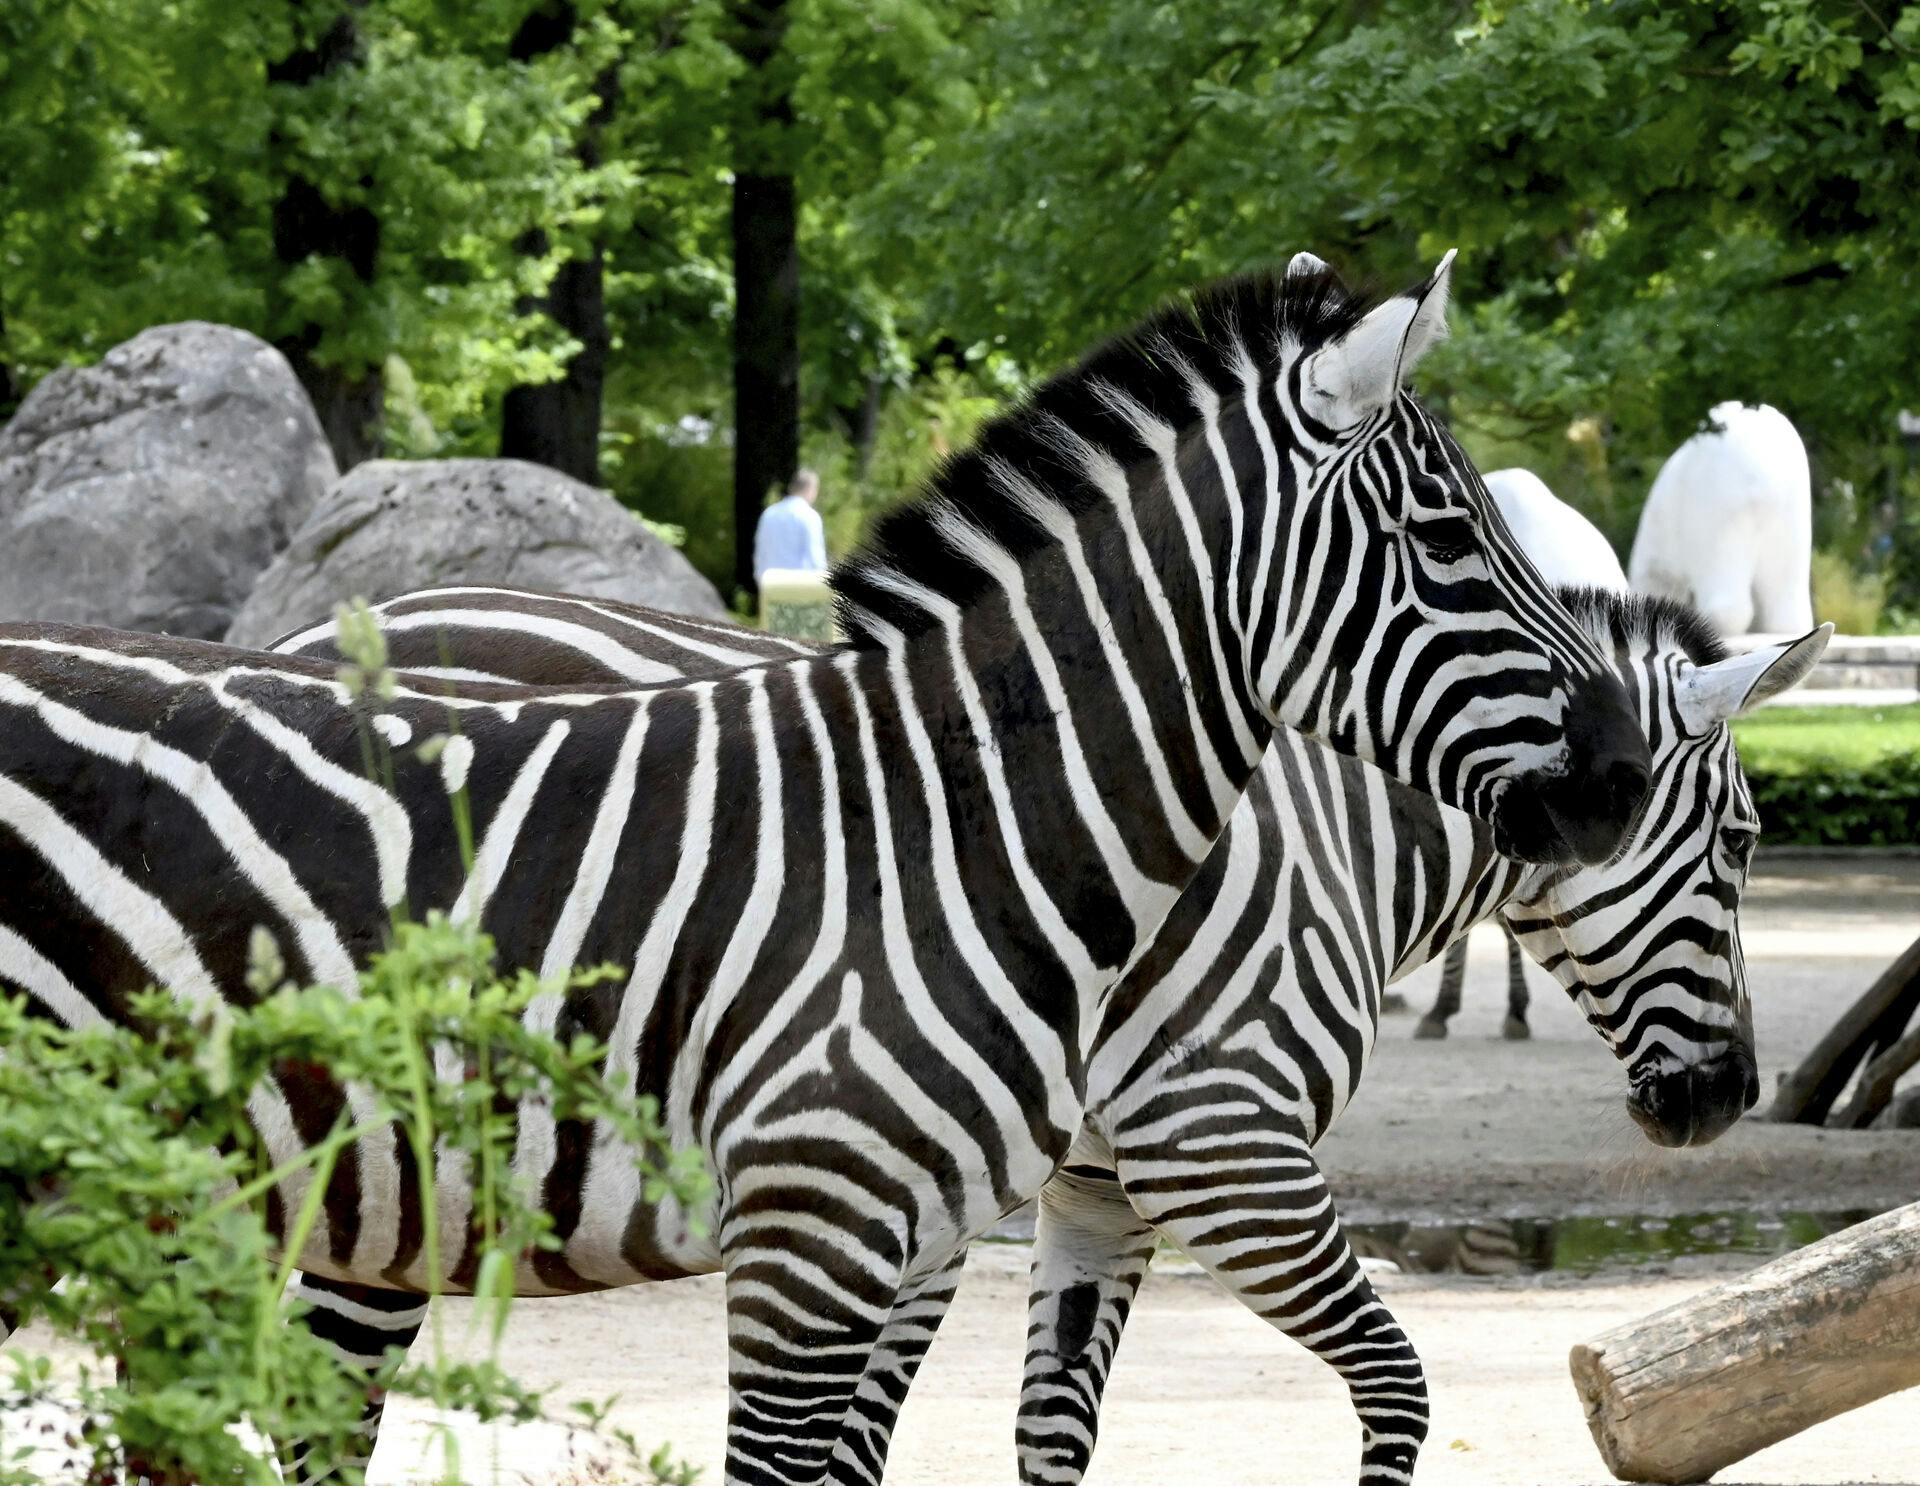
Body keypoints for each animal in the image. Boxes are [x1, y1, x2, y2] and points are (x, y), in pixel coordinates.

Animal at [274, 583, 1827, 1486]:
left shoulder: (1084, 1189)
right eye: (1747, 841)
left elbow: (1043, 1433)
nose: (1727, 1096)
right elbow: (1396, 1384)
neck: (1339, 834)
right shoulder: (1218, 1145)